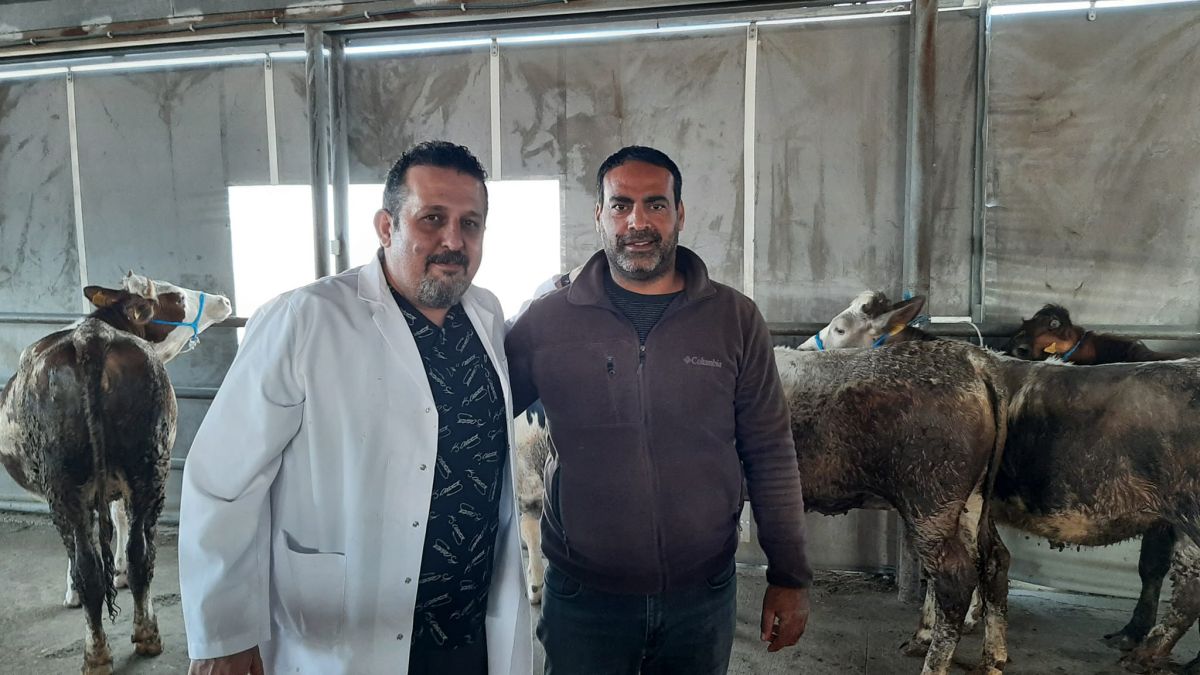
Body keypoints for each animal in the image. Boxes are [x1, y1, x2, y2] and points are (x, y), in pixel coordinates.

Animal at [0, 273, 231, 675]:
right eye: (175, 296)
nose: (223, 301)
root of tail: (91, 338)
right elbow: (118, 520)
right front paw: (117, 571)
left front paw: (76, 590)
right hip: (148, 466)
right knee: (140, 554)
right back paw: (144, 633)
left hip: (66, 482)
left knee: (90, 567)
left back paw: (98, 652)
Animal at [807, 291, 1200, 673]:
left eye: (840, 329)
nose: (805, 350)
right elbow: (987, 561)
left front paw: (941, 630)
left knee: (1183, 586)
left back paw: (1147, 650)